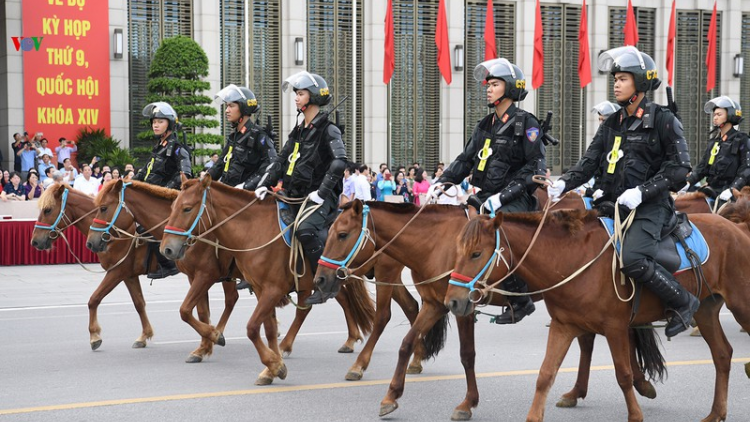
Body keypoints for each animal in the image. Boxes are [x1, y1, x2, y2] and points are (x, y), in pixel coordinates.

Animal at [30, 183, 157, 352]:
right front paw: (144, 335)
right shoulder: (129, 275)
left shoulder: (117, 272)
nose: (35, 241)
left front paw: (94, 335)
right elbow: (139, 304)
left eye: (48, 210)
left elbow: (94, 299)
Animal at [162, 176, 378, 384]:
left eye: (187, 208)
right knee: (313, 308)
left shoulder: (266, 289)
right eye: (171, 208)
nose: (167, 249)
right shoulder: (260, 289)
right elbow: (268, 329)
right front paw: (272, 367)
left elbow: (250, 328)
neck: (254, 230)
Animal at [312, 200, 656, 418]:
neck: (436, 244)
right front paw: (391, 395)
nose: (320, 279)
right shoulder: (436, 304)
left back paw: (635, 383)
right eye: (328, 233)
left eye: (341, 234)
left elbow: (467, 355)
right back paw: (594, 390)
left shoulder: (462, 307)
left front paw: (467, 403)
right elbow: (406, 343)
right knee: (590, 339)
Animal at [450, 209, 748, 420]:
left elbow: (624, 375)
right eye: (458, 251)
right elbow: (545, 375)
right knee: (722, 355)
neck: (572, 259)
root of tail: (738, 228)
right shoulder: (563, 326)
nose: (453, 301)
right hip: (706, 310)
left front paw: (635, 414)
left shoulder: (615, 328)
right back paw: (715, 414)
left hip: (741, 305)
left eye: (476, 253)